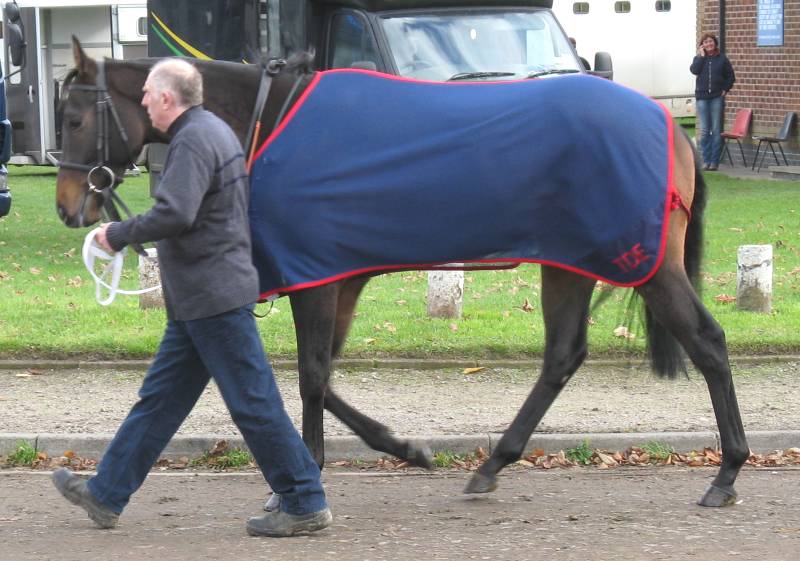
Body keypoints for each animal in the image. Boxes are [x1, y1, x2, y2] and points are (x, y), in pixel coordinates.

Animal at [56, 38, 749, 508]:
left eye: (74, 118)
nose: (68, 207)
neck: (272, 117)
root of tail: (671, 128)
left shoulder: (318, 279)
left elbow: (311, 378)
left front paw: (309, 476)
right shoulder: (338, 280)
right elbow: (320, 377)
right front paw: (398, 450)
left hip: (646, 264)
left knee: (708, 343)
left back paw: (728, 471)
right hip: (567, 263)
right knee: (562, 356)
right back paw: (494, 464)